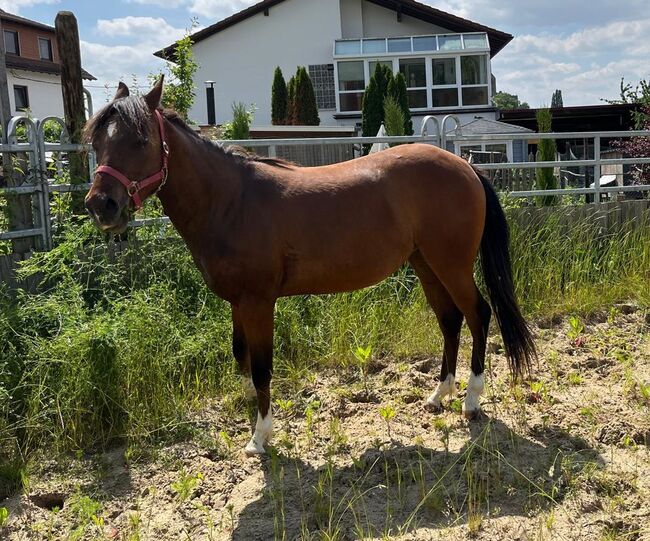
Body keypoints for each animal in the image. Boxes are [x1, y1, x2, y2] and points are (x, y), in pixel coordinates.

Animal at [85, 78, 532, 454]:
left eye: (141, 139)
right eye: (96, 143)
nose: (100, 205)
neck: (231, 201)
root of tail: (467, 166)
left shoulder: (258, 302)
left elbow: (262, 367)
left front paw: (259, 438)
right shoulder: (237, 303)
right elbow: (240, 354)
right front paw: (247, 408)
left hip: (451, 264)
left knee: (478, 315)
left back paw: (471, 401)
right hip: (425, 264)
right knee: (449, 321)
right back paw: (439, 395)